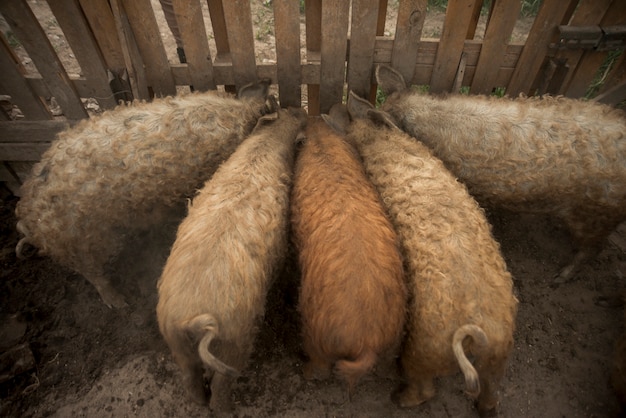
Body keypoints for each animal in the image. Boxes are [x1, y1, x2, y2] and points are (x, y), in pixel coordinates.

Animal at [290, 116, 408, 396]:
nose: (311, 117)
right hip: (393, 341)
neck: (321, 140)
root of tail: (367, 343)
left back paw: (304, 371)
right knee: (388, 366)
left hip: (316, 334)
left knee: (319, 366)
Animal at [322, 93, 516, 416]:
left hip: (422, 350)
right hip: (498, 356)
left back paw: (397, 399)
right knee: (492, 392)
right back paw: (486, 408)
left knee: (425, 389)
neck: (380, 141)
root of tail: (476, 331)